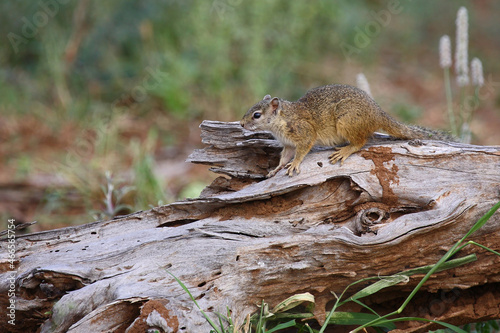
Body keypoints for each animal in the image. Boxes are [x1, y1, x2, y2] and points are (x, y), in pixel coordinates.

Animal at [240, 83, 452, 176]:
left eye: (256, 115)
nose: (241, 124)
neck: (281, 121)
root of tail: (377, 113)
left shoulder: (304, 132)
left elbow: (302, 150)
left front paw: (295, 164)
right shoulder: (288, 144)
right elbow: (284, 157)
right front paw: (277, 168)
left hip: (347, 120)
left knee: (361, 141)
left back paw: (345, 150)